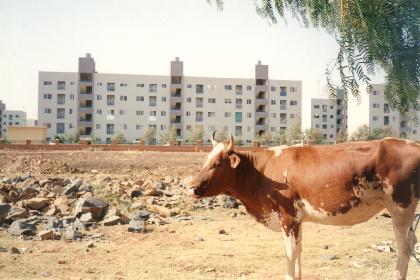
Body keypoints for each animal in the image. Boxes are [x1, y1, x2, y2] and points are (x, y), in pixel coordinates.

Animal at [189, 133, 418, 280]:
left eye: (217, 164)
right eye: (205, 161)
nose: (191, 187)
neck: (261, 173)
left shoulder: (288, 217)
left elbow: (290, 253)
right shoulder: (298, 220)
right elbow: (298, 251)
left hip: (401, 207)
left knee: (404, 249)